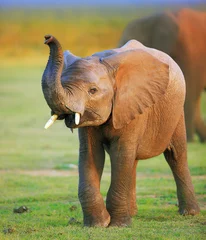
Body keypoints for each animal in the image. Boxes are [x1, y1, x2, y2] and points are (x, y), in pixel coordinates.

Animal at [40, 34, 200, 226]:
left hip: (176, 111)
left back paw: (190, 213)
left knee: (176, 155)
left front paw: (117, 225)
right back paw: (132, 213)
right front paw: (97, 224)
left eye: (92, 91)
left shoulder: (133, 104)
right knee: (133, 160)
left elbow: (121, 152)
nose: (47, 38)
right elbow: (90, 153)